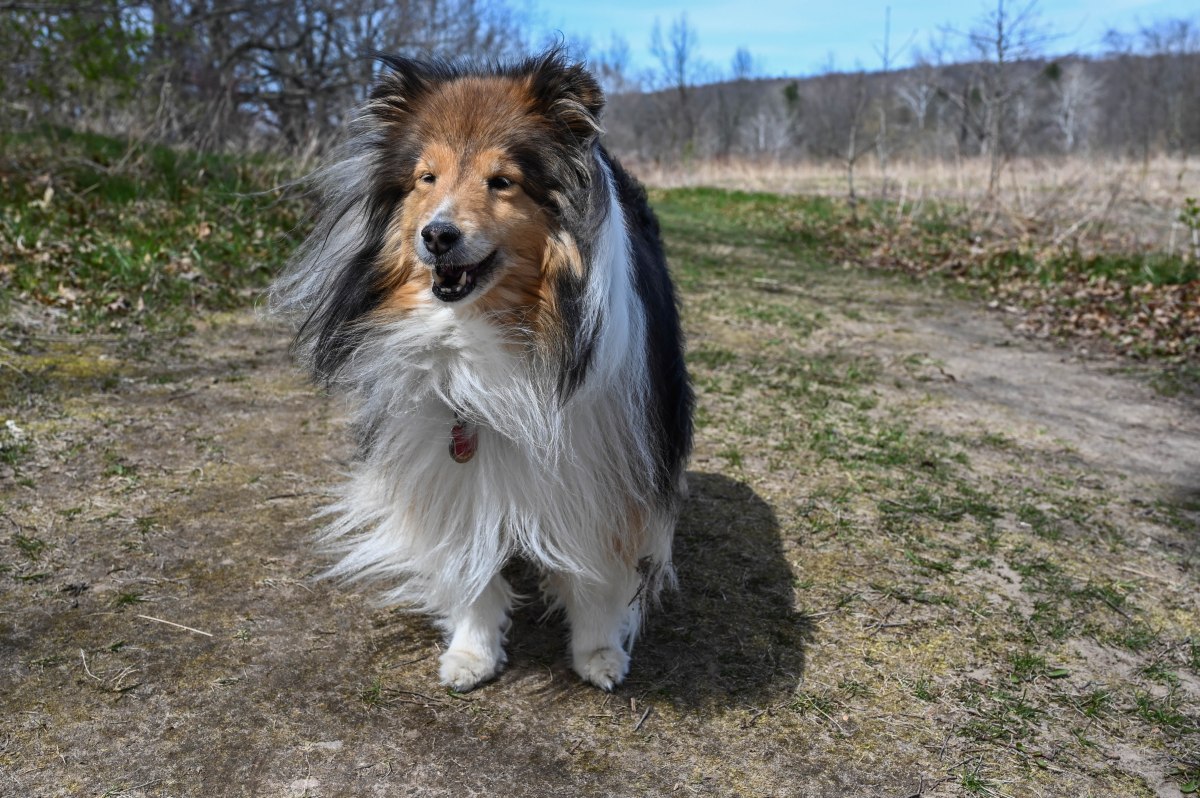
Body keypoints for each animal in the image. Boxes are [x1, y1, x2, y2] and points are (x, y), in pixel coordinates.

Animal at [271, 49, 693, 691]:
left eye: (502, 181)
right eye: (427, 178)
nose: (437, 236)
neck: (486, 334)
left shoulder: (604, 460)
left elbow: (598, 571)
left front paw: (598, 653)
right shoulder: (446, 463)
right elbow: (467, 563)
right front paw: (473, 652)